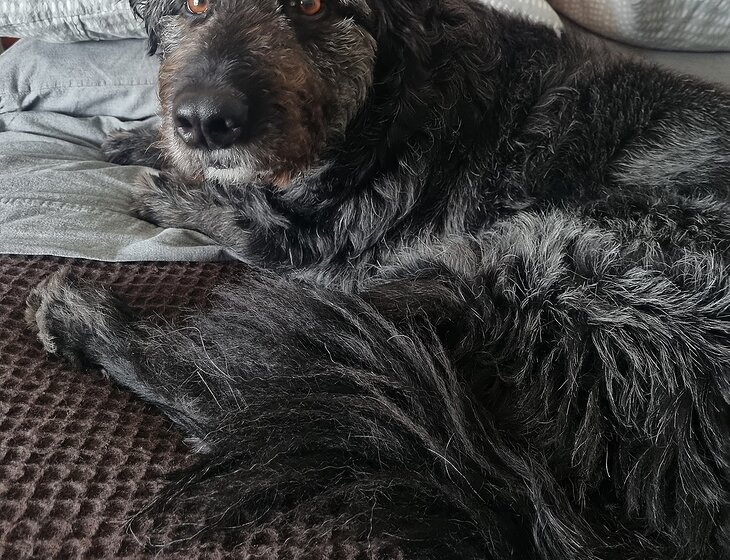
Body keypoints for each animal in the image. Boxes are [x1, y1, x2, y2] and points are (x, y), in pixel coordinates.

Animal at [26, 0, 730, 558]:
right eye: (193, 5)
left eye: (313, 7)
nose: (204, 121)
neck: (392, 99)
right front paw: (144, 141)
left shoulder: (305, 243)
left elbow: (233, 212)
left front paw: (168, 192)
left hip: (522, 269)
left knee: (257, 397)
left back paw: (86, 319)